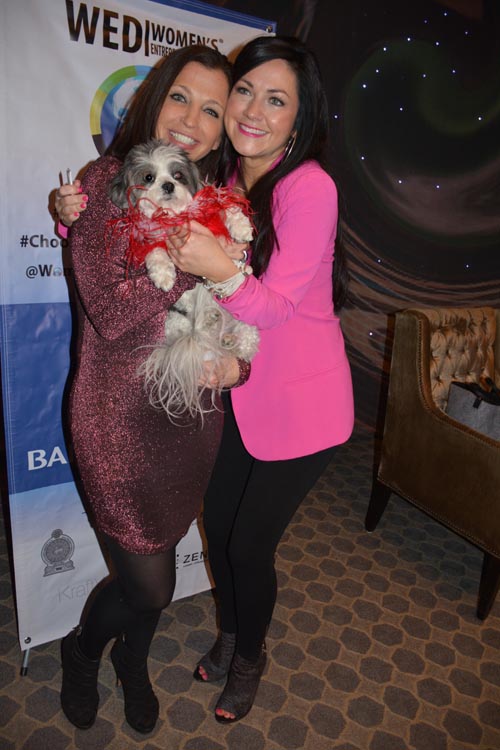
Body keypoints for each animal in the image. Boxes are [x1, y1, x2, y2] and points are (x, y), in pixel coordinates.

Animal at [108, 140, 260, 420]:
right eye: (149, 177)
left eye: (177, 175)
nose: (168, 185)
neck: (175, 216)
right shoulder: (148, 240)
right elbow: (156, 253)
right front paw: (164, 276)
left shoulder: (210, 210)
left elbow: (227, 210)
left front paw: (242, 228)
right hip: (175, 322)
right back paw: (212, 323)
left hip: (247, 324)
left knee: (244, 346)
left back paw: (228, 337)